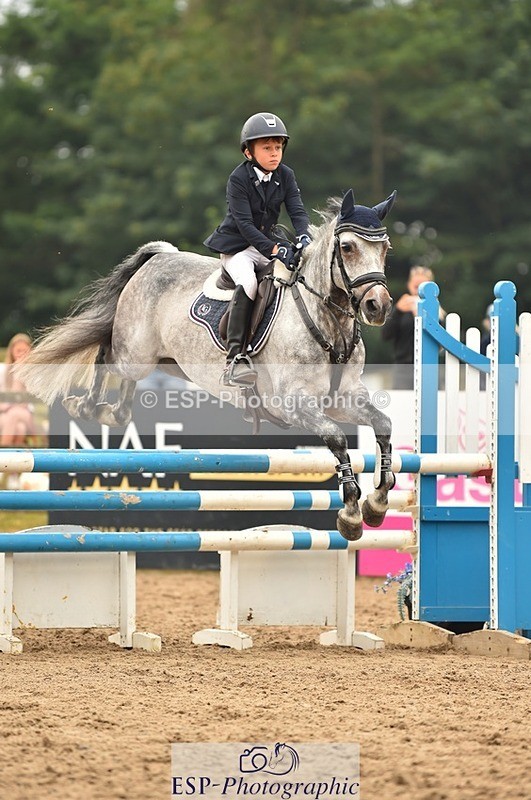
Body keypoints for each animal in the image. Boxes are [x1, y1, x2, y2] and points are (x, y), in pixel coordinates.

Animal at [18, 188, 397, 541]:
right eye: (347, 247)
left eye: (385, 248)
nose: (378, 306)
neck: (328, 321)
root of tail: (160, 257)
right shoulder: (292, 403)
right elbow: (337, 439)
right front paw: (351, 514)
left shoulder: (341, 399)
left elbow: (383, 425)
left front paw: (377, 504)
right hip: (135, 352)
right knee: (106, 356)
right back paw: (83, 405)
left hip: (170, 361)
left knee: (125, 391)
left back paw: (112, 414)